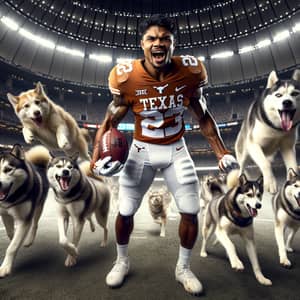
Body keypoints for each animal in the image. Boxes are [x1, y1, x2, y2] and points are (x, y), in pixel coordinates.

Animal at [0, 144, 49, 278]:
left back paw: (29, 240)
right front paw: (14, 237)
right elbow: (11, 233)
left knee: (35, 224)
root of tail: (39, 165)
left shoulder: (24, 220)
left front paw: (5, 267)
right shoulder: (4, 214)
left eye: (8, 169)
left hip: (38, 207)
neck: (12, 198)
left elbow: (12, 247)